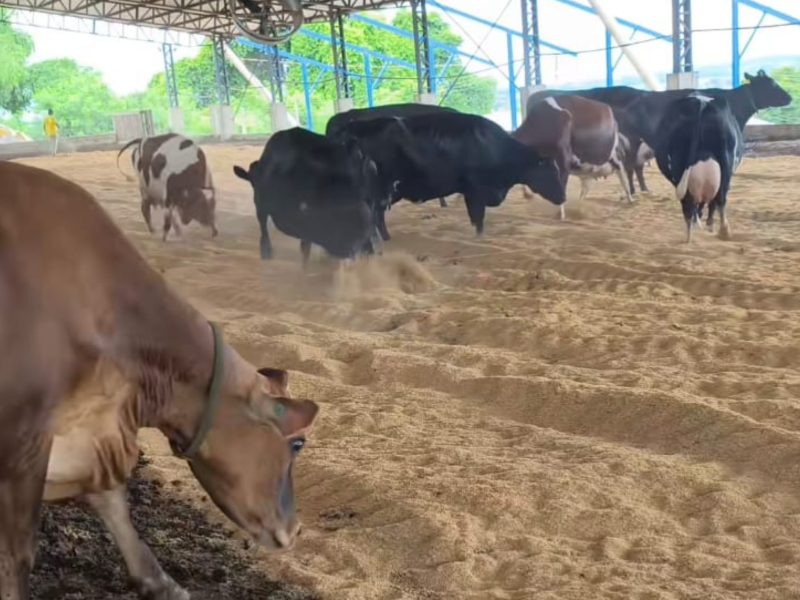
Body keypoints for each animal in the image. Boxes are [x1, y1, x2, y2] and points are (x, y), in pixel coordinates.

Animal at [0, 161, 318, 600]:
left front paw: (161, 582)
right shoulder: (24, 436)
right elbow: (18, 554)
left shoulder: (92, 429)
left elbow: (113, 500)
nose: (296, 530)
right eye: (298, 444)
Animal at [648, 92, 744, 243]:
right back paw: (722, 231)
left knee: (690, 203)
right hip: (725, 161)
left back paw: (690, 236)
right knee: (720, 198)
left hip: (680, 164)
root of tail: (701, 103)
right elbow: (712, 203)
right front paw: (709, 224)